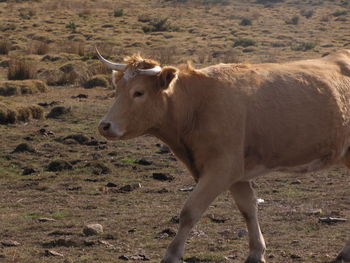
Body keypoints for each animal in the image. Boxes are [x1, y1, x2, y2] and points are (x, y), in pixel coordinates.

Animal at [95, 48, 350, 263]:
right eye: (117, 91)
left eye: (139, 92)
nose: (104, 126)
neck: (198, 103)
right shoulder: (237, 174)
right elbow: (248, 209)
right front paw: (256, 252)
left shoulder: (222, 168)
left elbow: (190, 211)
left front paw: (172, 254)